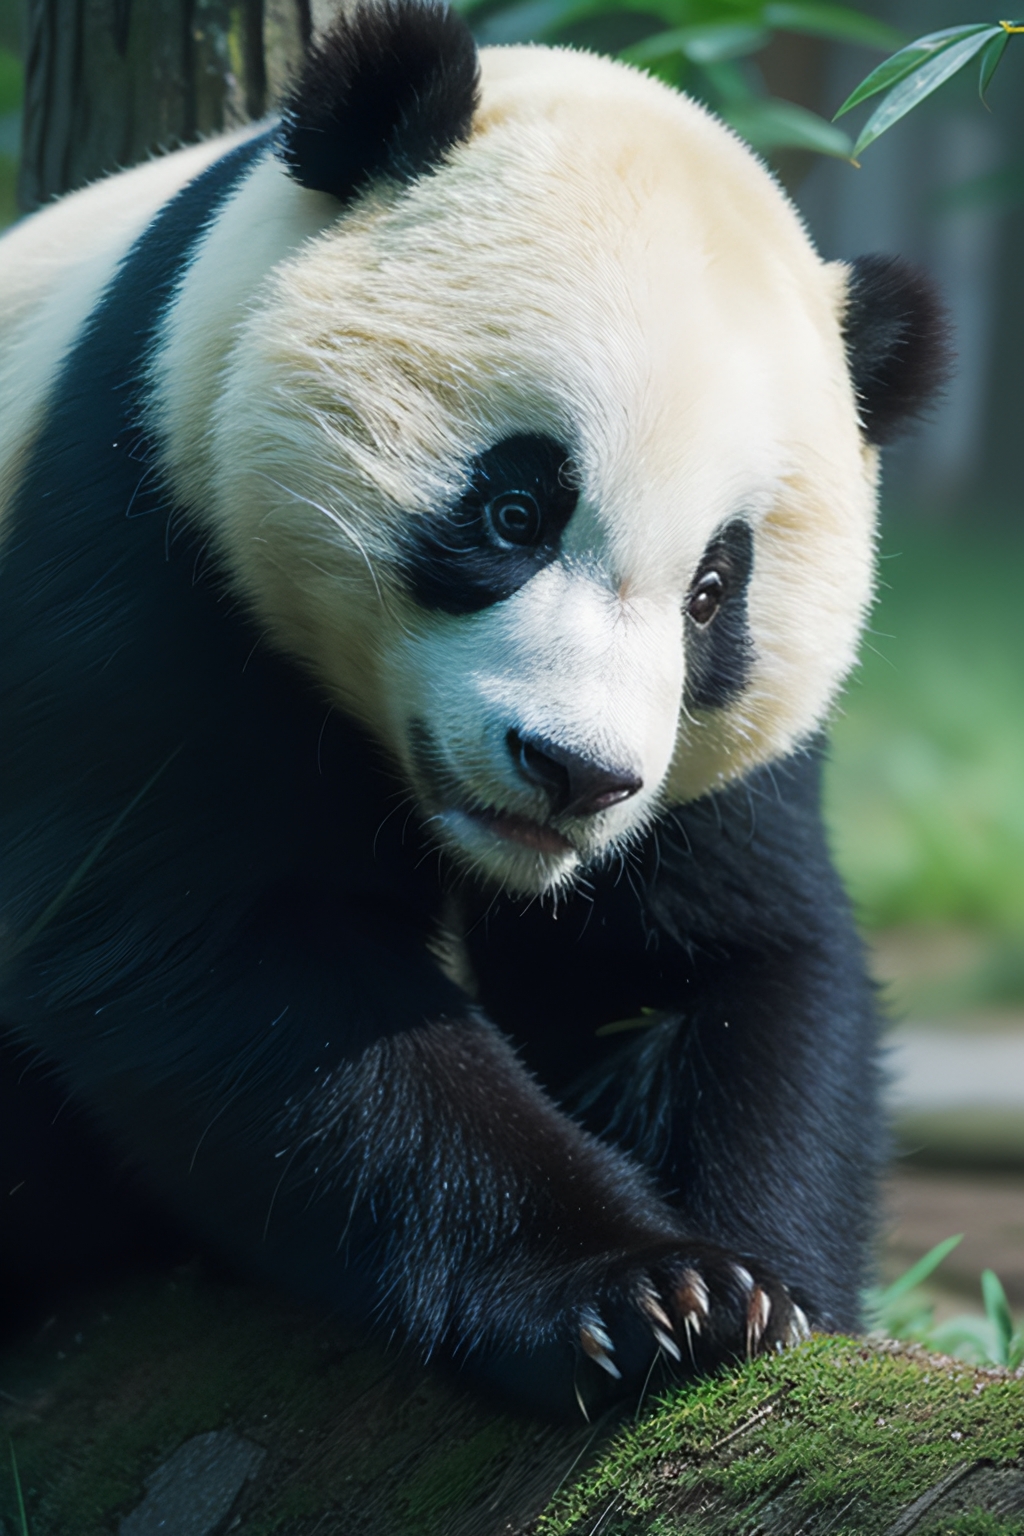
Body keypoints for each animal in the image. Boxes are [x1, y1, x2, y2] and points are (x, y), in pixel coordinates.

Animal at [0, 0, 945, 1419]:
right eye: (514, 510)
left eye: (713, 593)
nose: (573, 772)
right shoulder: (143, 523)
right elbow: (219, 951)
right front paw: (638, 1291)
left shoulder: (709, 770)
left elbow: (702, 964)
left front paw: (766, 1293)